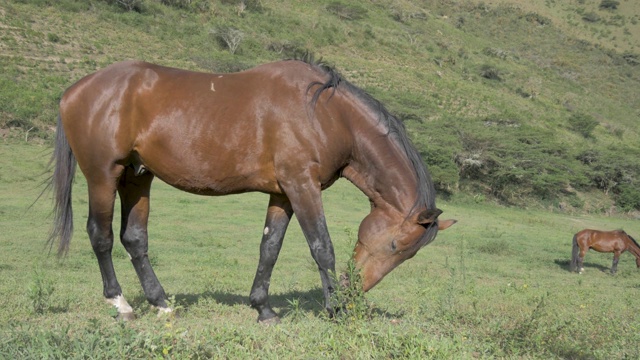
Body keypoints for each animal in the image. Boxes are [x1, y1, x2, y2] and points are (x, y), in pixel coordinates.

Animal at [47, 56, 456, 324]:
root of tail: (73, 91)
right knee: (100, 236)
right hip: (103, 175)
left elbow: (269, 247)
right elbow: (321, 247)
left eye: (407, 255)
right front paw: (332, 309)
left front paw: (263, 308)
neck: (326, 115)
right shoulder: (302, 186)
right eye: (395, 246)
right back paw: (121, 305)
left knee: (134, 239)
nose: (354, 292)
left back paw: (161, 303)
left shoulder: (283, 193)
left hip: (137, 177)